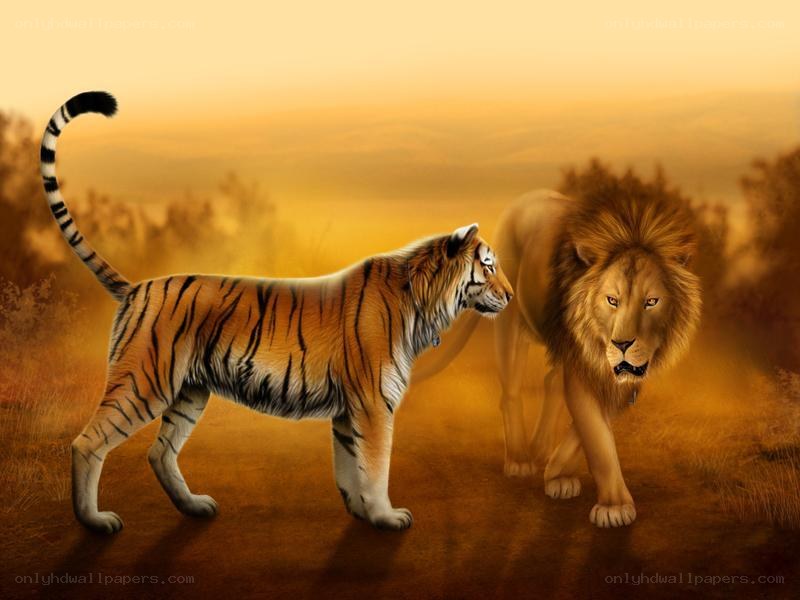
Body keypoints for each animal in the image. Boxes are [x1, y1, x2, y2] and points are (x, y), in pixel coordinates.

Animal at [40, 92, 514, 534]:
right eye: (489, 266)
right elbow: (375, 467)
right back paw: (94, 521)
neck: (422, 302)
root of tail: (136, 287)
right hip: (144, 381)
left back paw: (194, 507)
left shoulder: (348, 410)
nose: (511, 296)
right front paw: (386, 517)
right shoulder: (373, 404)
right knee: (86, 443)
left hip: (189, 392)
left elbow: (350, 469)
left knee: (160, 452)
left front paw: (362, 514)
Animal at [414, 187, 702, 527]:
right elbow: (597, 438)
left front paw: (556, 471)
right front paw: (614, 506)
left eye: (651, 302)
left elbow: (589, 425)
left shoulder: (623, 376)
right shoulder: (582, 368)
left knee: (551, 380)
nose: (622, 343)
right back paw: (520, 459)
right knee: (511, 393)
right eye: (612, 300)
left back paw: (540, 450)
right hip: (509, 318)